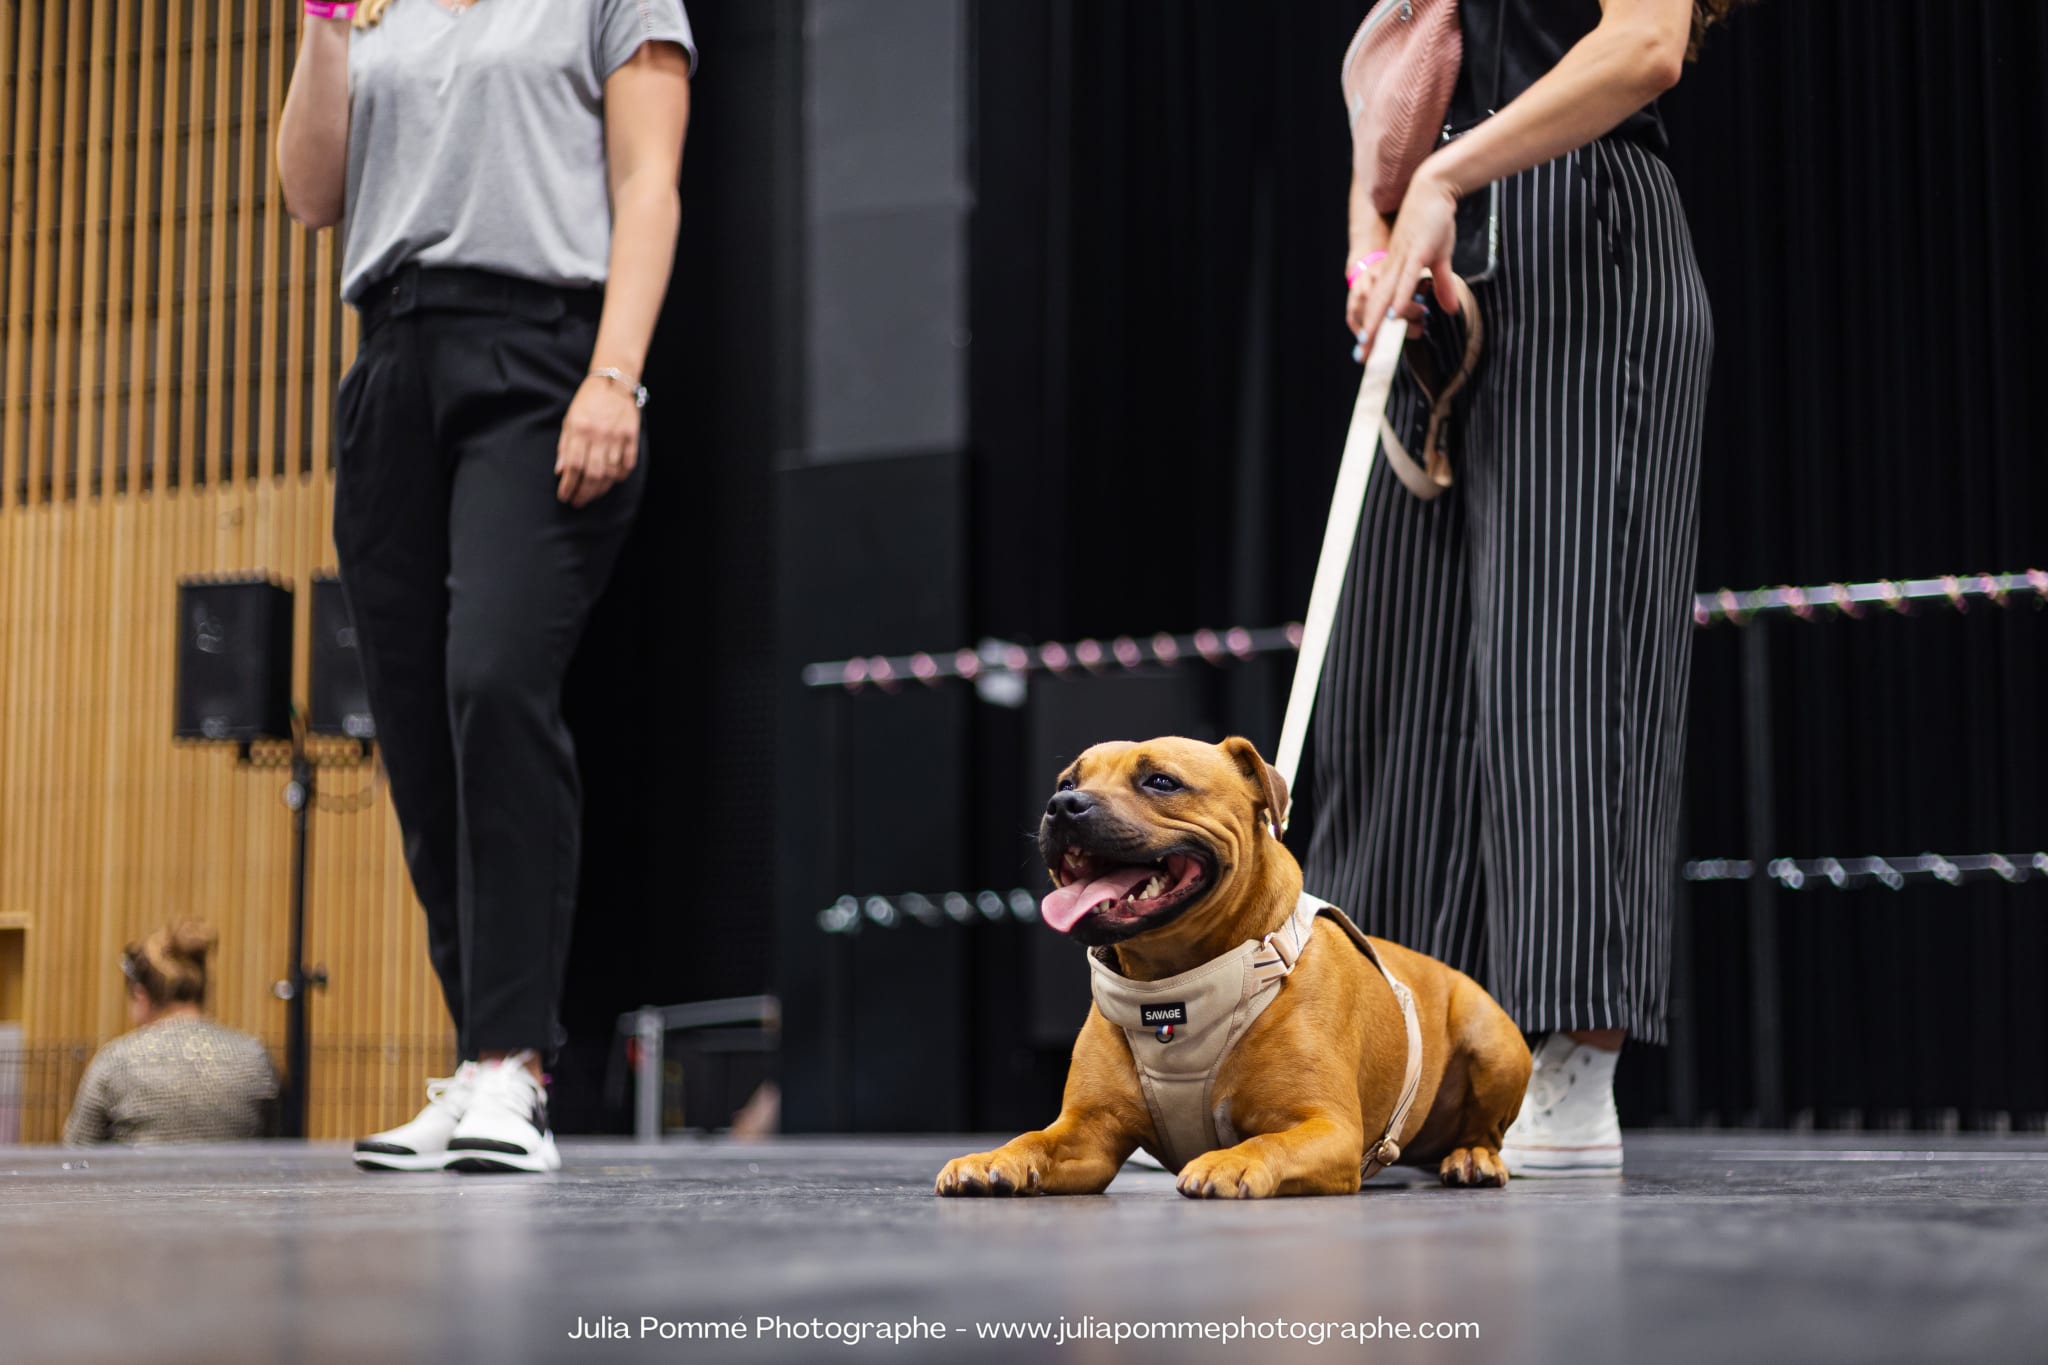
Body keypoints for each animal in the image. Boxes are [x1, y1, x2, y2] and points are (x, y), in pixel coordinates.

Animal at [937, 736, 1531, 1195]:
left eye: (1161, 782)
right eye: (1065, 782)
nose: (1063, 805)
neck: (1173, 983)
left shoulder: (1328, 1128)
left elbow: (1270, 1141)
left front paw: (1230, 1161)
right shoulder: (1088, 1133)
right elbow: (1036, 1139)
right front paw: (994, 1157)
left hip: (1494, 1044)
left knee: (1486, 1131)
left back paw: (1473, 1158)